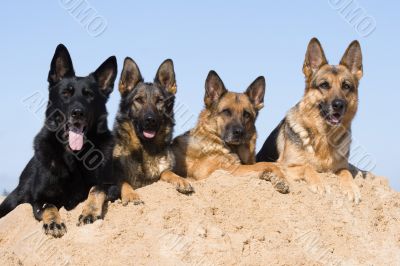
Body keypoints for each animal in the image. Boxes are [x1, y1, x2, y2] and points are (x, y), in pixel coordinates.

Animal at [0, 44, 118, 238]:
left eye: (89, 95)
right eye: (66, 93)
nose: (78, 113)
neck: (74, 156)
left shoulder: (112, 185)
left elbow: (96, 189)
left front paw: (89, 212)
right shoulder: (38, 199)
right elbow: (49, 205)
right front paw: (54, 222)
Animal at [112, 57, 194, 205]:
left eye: (159, 101)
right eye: (139, 100)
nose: (150, 120)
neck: (145, 148)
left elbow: (166, 172)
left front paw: (180, 180)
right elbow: (123, 182)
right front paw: (131, 195)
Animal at [258, 37, 364, 203]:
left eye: (346, 86)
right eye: (324, 85)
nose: (338, 105)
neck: (324, 137)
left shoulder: (340, 167)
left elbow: (346, 172)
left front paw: (352, 188)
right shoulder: (285, 165)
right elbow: (307, 167)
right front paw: (320, 183)